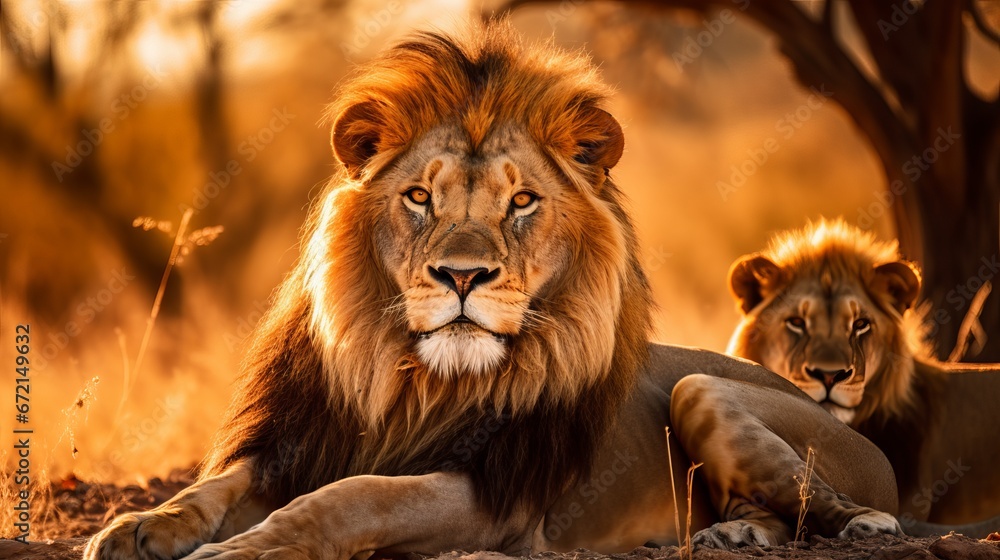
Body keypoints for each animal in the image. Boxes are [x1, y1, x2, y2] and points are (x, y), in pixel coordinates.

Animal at [86, 24, 901, 560]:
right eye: (419, 197)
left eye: (522, 202)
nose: (462, 276)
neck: (411, 380)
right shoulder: (304, 441)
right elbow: (219, 484)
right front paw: (138, 525)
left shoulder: (493, 496)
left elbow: (358, 496)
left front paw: (243, 550)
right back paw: (732, 529)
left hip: (703, 389)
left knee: (823, 505)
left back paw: (858, 524)